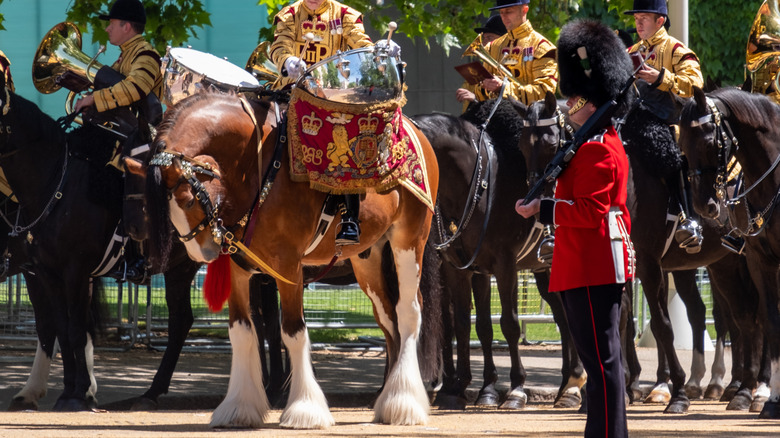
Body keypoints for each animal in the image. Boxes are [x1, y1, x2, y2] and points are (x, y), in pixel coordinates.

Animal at [142, 43, 442, 428]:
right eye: (163, 206)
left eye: (188, 198)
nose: (203, 252)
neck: (255, 166)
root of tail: (415, 128)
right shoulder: (239, 268)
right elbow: (241, 330)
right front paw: (239, 407)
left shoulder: (288, 267)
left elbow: (293, 332)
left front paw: (304, 409)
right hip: (368, 259)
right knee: (388, 320)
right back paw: (386, 401)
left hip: (408, 241)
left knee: (408, 313)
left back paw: (404, 403)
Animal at [414, 99, 584, 410]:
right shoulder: (463, 269)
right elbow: (471, 325)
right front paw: (474, 389)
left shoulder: (505, 266)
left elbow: (509, 324)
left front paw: (515, 388)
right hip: (546, 270)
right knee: (564, 317)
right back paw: (569, 384)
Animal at [520, 90, 764, 412]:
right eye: (522, 144)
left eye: (550, 143)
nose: (536, 204)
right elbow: (621, 319)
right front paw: (622, 387)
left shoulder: (648, 263)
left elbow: (661, 324)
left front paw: (676, 392)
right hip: (722, 264)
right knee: (740, 316)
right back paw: (735, 386)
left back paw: (751, 388)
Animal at [680, 85, 780, 418]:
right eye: (682, 143)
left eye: (711, 141)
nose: (704, 206)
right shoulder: (761, 261)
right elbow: (771, 319)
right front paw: (771, 399)